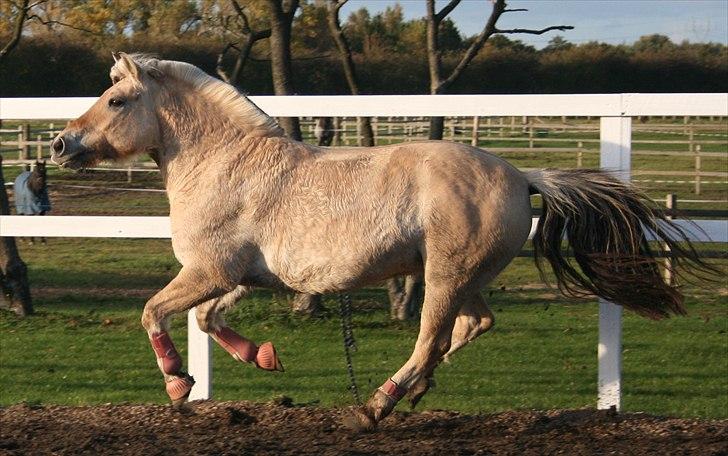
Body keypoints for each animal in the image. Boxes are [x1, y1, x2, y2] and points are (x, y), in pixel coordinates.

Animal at [49, 54, 716, 432]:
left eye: (116, 99)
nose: (60, 143)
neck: (224, 164)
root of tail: (521, 175)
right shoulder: (237, 278)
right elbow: (208, 320)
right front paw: (262, 357)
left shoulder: (209, 271)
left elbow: (153, 311)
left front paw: (177, 383)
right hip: (466, 278)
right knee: (473, 326)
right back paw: (411, 393)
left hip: (445, 275)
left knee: (431, 336)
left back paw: (375, 406)